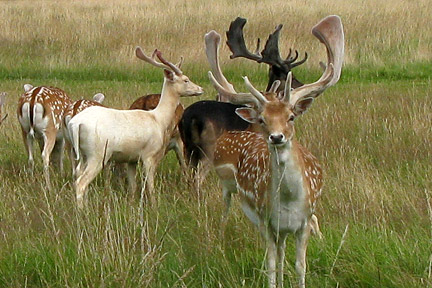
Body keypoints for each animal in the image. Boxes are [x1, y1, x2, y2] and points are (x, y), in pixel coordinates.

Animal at [68, 48, 203, 208]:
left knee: (77, 174)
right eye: (186, 79)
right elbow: (150, 185)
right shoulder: (149, 154)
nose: (200, 88)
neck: (159, 120)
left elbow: (132, 186)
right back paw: (82, 211)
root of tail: (75, 124)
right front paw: (154, 206)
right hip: (97, 153)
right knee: (81, 182)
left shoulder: (131, 159)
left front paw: (132, 203)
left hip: (82, 153)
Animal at [181, 17, 308, 189]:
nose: (302, 85)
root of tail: (191, 118)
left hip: (188, 149)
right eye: (289, 75)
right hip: (208, 148)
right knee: (198, 178)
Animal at [209, 15, 344, 288]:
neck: (289, 201)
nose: (276, 136)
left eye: (291, 116)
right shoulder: (267, 221)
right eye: (263, 119)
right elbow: (270, 265)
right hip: (238, 197)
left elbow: (301, 266)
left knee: (283, 252)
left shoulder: (304, 223)